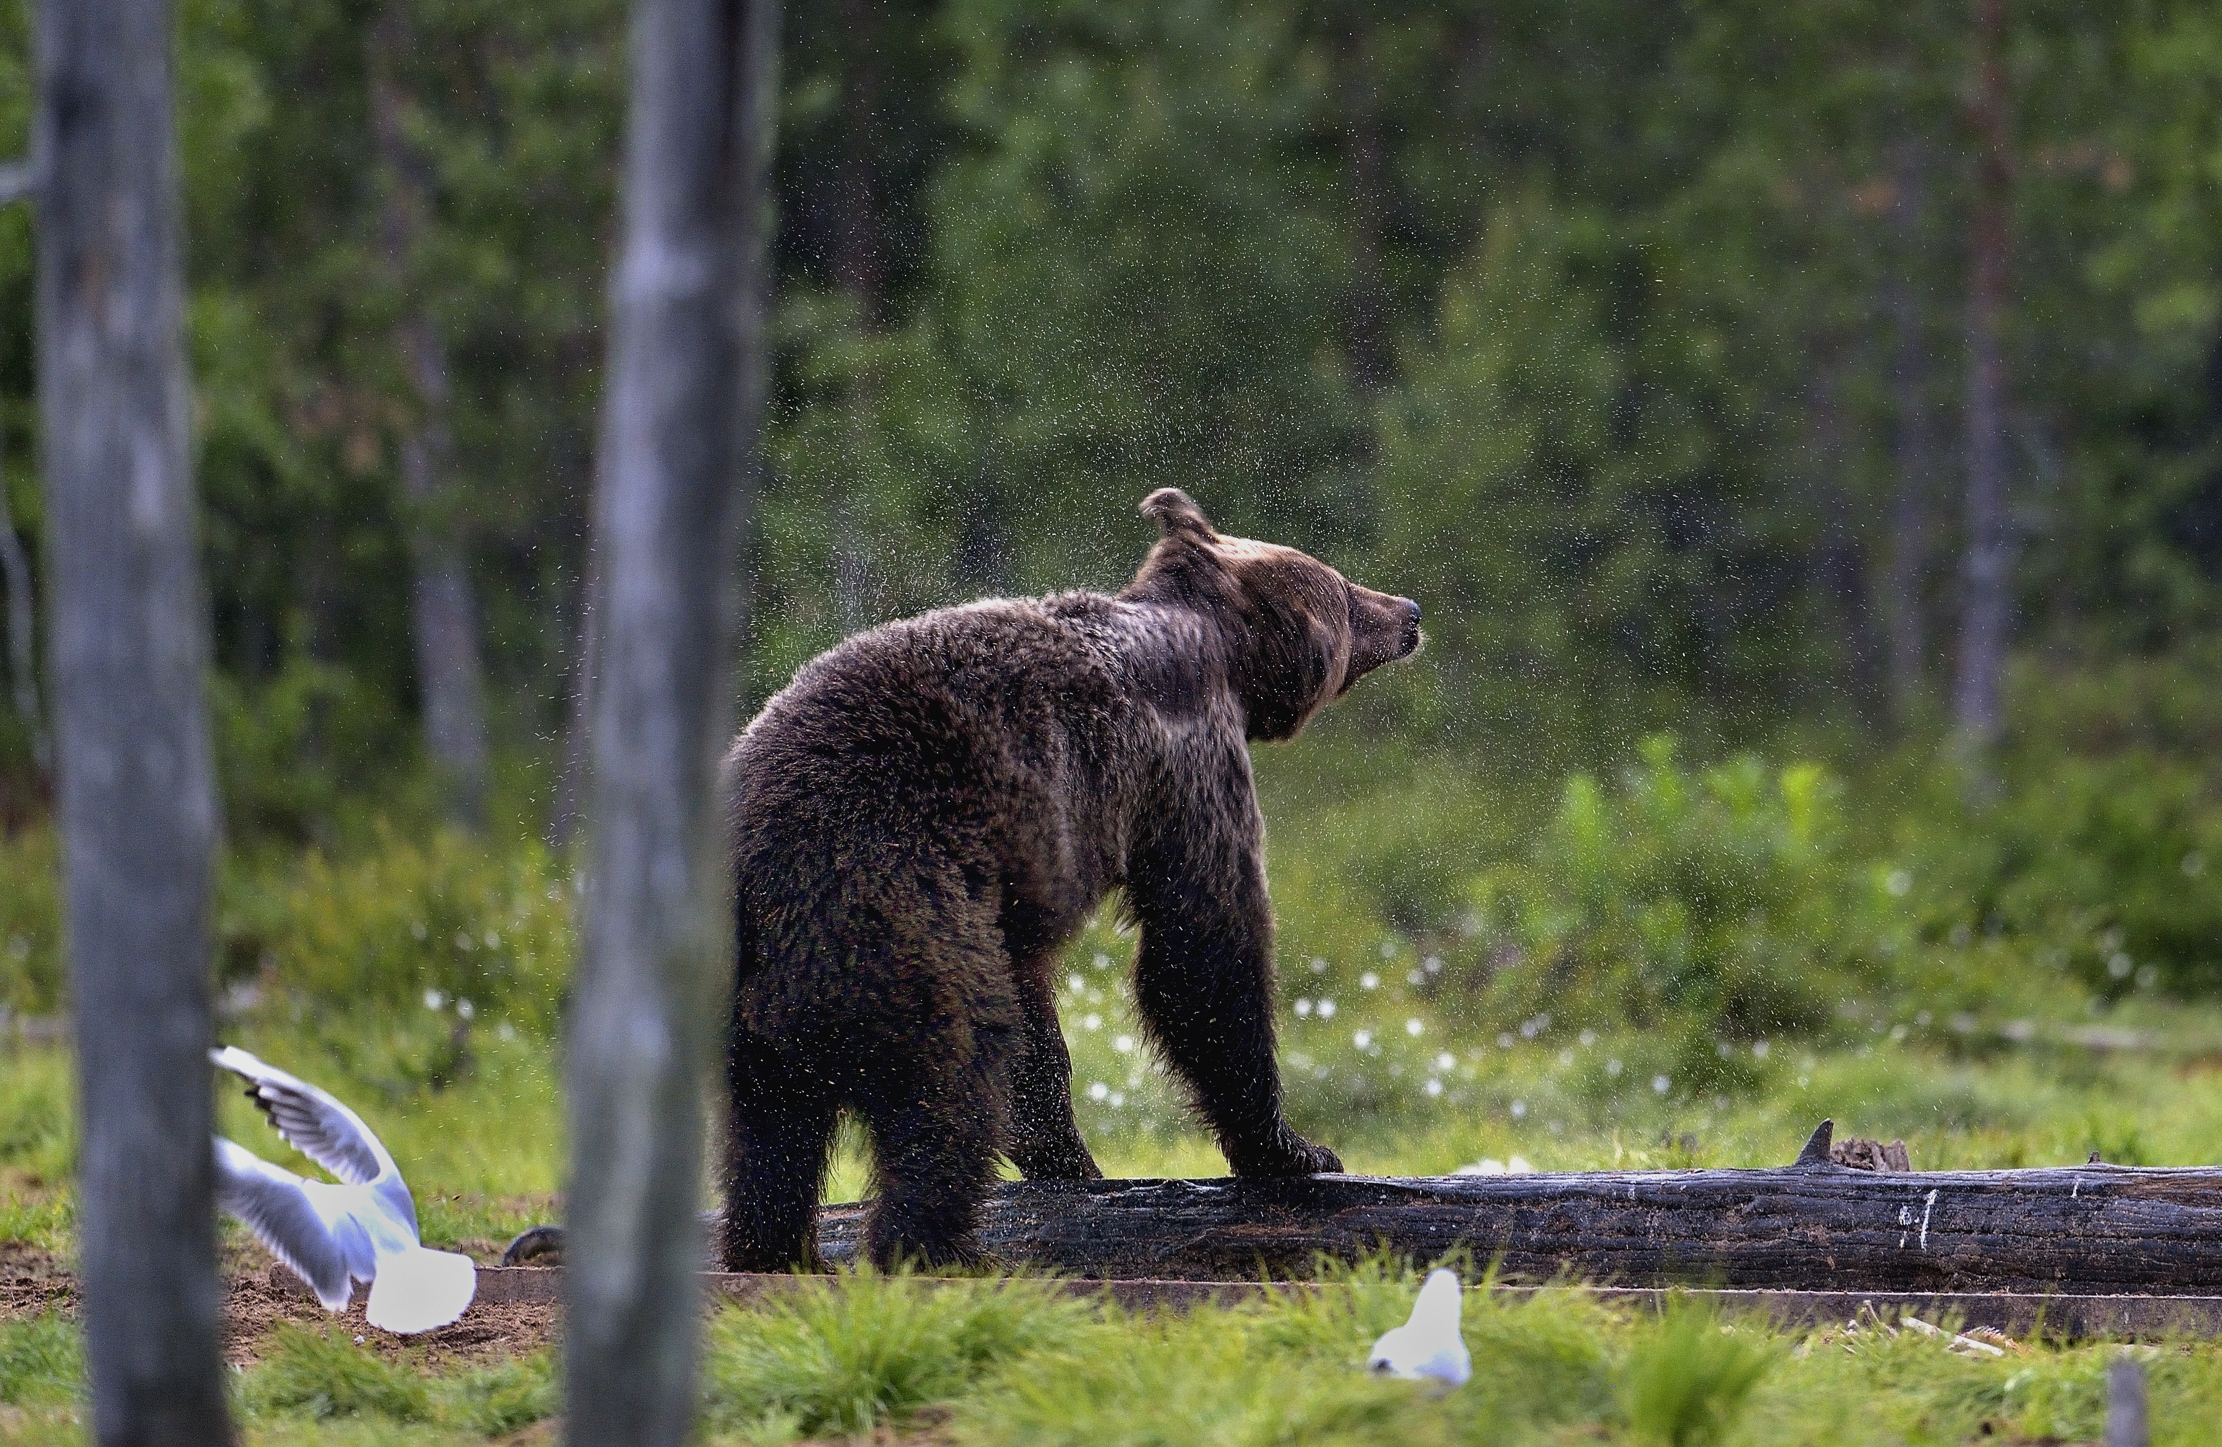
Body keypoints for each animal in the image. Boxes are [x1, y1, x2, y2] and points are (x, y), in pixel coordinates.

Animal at [720, 488, 1422, 1271]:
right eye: (1342, 588)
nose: (1409, 610)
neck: (1219, 656)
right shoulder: (1185, 768)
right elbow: (1204, 947)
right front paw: (1293, 1149)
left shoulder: (1019, 889)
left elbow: (1040, 1022)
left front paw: (1068, 1161)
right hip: (895, 904)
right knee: (952, 1080)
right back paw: (943, 1251)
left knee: (769, 1131)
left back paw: (775, 1248)